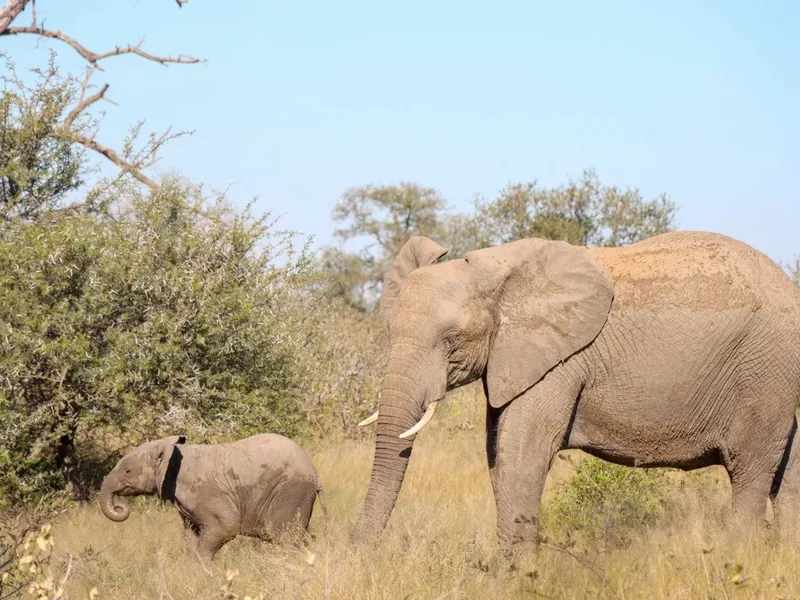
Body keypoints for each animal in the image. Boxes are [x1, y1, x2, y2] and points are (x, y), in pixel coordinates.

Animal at [100, 433, 327, 566]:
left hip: (290, 491)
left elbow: (226, 526)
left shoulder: (208, 493)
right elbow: (191, 536)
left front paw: (208, 573)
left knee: (284, 538)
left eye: (128, 471)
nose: (120, 507)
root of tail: (316, 473)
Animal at [350, 231, 800, 552]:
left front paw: (516, 580)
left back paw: (735, 562)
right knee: (788, 469)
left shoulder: (559, 362)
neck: (495, 272)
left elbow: (523, 454)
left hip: (765, 372)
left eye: (452, 340)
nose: (357, 554)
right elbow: (498, 454)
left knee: (750, 470)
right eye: (389, 331)